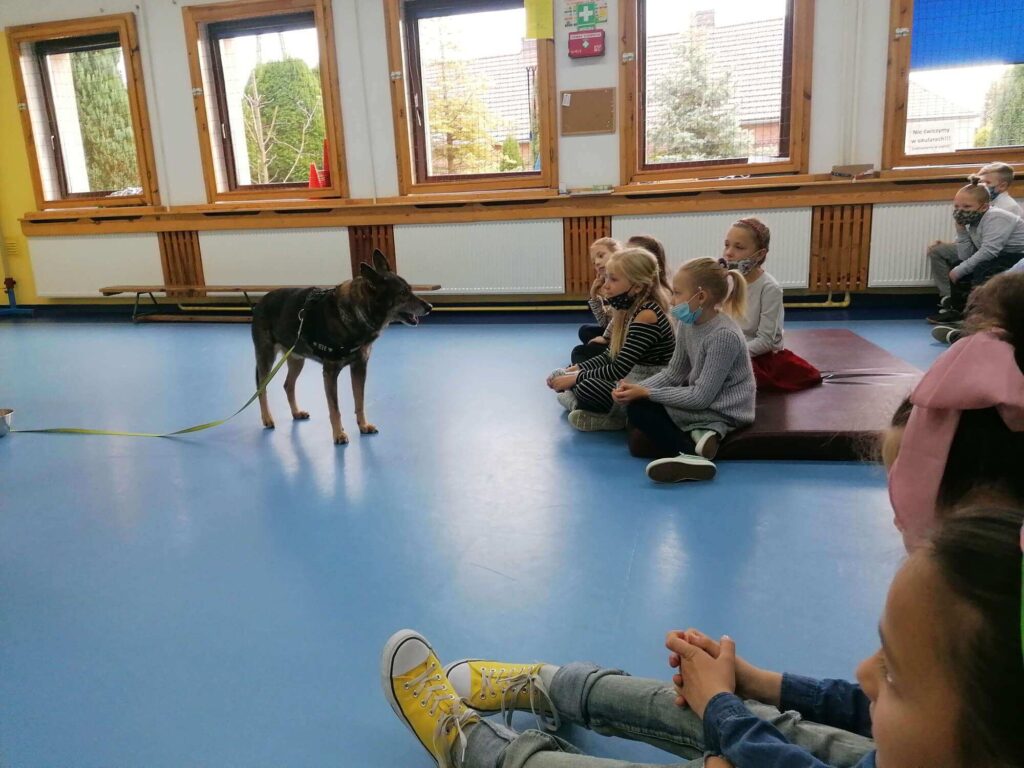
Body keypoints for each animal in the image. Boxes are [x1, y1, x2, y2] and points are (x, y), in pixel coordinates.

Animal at [251, 250, 432, 444]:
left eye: (410, 289)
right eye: (403, 293)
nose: (430, 307)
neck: (355, 312)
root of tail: (259, 303)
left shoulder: (359, 367)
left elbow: (359, 401)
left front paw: (363, 425)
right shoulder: (330, 373)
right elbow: (334, 409)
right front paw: (338, 434)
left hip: (297, 359)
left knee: (288, 385)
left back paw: (296, 412)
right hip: (266, 358)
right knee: (261, 389)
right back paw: (267, 418)